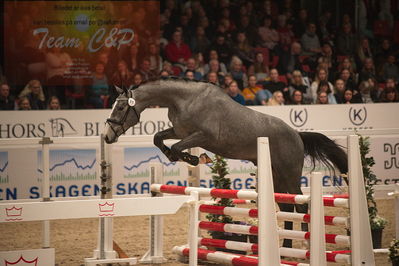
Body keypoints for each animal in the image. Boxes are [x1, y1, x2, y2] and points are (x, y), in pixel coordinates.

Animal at [104, 77, 348, 247]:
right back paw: (287, 244)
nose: (107, 136)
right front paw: (179, 157)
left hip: (289, 174)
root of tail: (297, 134)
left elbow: (176, 147)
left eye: (121, 107)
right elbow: (158, 138)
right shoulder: (180, 131)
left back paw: (305, 243)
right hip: (276, 175)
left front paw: (193, 158)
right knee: (287, 207)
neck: (184, 100)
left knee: (301, 205)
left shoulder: (203, 136)